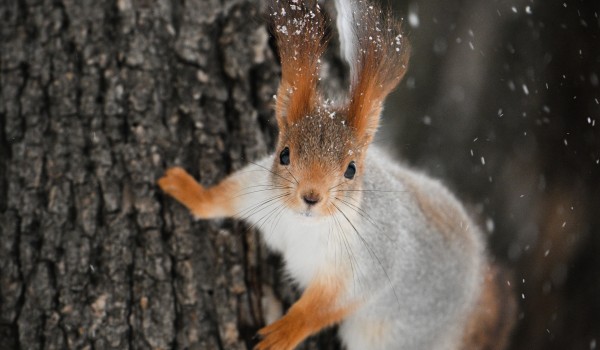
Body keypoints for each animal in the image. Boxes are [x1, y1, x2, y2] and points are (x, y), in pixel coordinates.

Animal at [159, 0, 516, 350]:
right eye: (284, 154)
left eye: (351, 169)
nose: (311, 197)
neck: (303, 226)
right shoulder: (257, 191)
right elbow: (221, 197)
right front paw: (184, 188)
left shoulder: (365, 267)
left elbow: (323, 308)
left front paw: (285, 332)